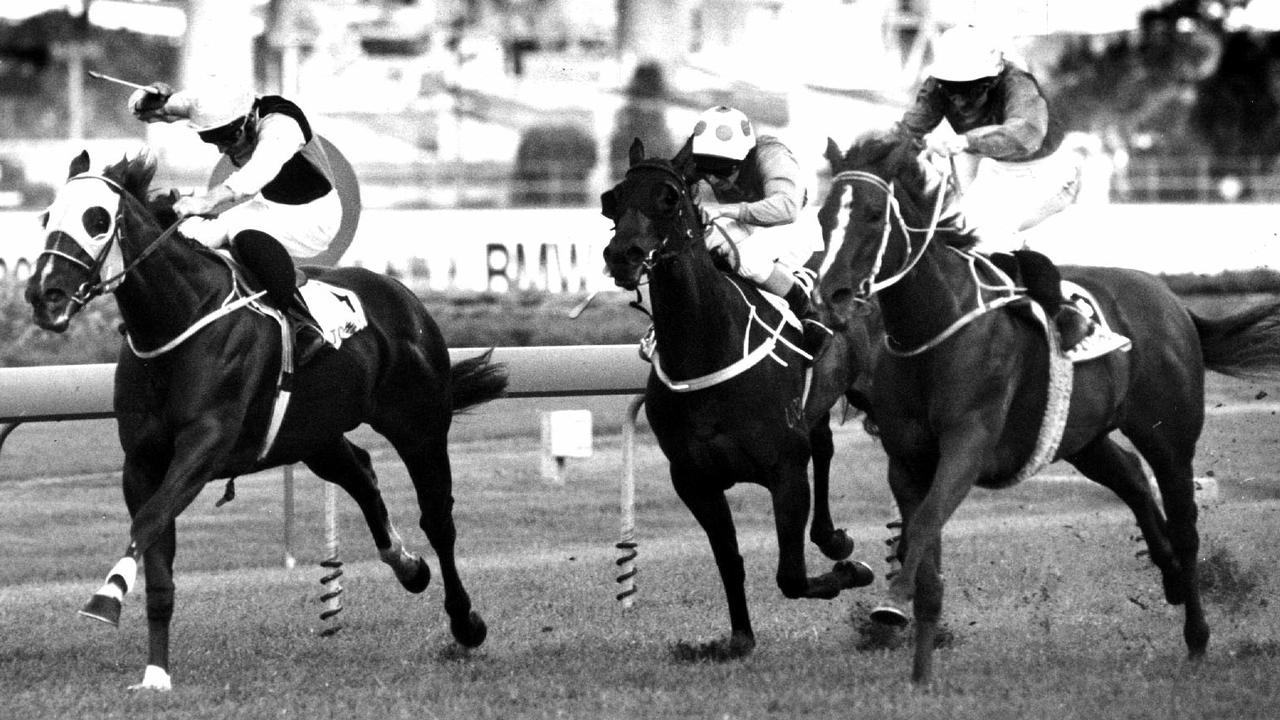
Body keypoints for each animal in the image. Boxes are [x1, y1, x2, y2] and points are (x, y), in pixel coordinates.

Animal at [24, 147, 504, 691]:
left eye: (98, 220)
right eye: (47, 218)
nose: (45, 295)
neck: (180, 321)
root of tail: (406, 298)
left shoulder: (204, 447)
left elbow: (149, 519)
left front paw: (105, 596)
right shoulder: (143, 461)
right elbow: (156, 550)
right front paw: (155, 674)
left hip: (419, 426)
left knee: (438, 520)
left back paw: (465, 623)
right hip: (314, 434)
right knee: (361, 473)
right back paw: (408, 567)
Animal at [596, 137, 875, 661]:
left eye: (669, 197)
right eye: (613, 198)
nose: (623, 254)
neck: (707, 346)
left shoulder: (785, 469)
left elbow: (791, 576)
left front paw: (852, 573)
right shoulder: (694, 480)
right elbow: (729, 560)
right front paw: (739, 639)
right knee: (824, 447)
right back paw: (832, 539)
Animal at [814, 130, 1280, 681]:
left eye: (871, 215)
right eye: (823, 215)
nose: (830, 295)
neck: (934, 328)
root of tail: (1171, 299)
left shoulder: (967, 446)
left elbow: (925, 525)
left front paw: (891, 602)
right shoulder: (907, 461)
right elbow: (926, 555)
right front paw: (920, 675)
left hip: (1169, 435)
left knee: (1185, 525)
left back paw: (1197, 636)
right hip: (1084, 437)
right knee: (1130, 476)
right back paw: (1165, 570)